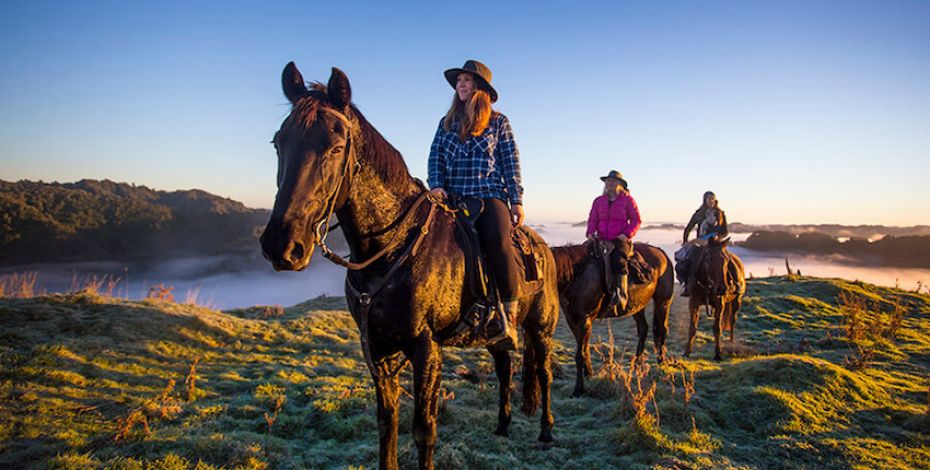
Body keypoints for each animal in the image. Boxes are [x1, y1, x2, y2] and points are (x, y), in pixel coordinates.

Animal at [258, 62, 560, 470]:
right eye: (279, 143)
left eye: (335, 148)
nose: (281, 245)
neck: (391, 246)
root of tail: (543, 247)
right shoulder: (377, 349)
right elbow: (388, 423)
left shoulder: (425, 348)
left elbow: (423, 430)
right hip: (493, 336)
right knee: (504, 367)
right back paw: (502, 425)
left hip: (541, 329)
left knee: (543, 373)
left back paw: (546, 431)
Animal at [552, 242, 676, 396]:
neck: (577, 275)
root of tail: (662, 253)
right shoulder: (572, 320)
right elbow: (585, 349)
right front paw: (589, 374)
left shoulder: (584, 320)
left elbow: (580, 354)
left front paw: (578, 389)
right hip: (637, 305)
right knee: (643, 329)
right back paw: (636, 362)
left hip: (663, 302)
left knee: (662, 329)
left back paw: (661, 362)